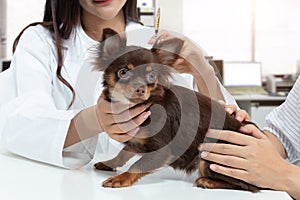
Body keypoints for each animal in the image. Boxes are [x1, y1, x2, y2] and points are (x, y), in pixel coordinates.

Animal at [94, 28, 260, 192]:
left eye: (152, 76)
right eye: (123, 72)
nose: (140, 89)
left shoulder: (162, 151)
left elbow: (137, 165)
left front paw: (120, 179)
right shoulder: (137, 141)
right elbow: (123, 153)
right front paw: (109, 163)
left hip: (210, 154)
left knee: (245, 185)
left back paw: (207, 182)